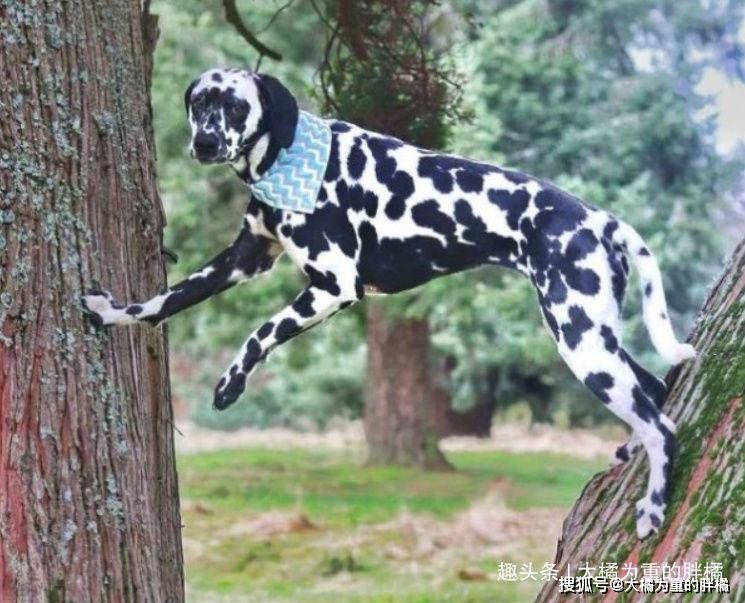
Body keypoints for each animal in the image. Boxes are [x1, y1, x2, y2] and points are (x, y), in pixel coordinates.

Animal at [83, 68, 696, 540]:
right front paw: (114, 313)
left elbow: (260, 331)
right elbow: (167, 300)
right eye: (199, 103)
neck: (288, 159)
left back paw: (653, 506)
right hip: (593, 338)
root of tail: (601, 220)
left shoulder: (332, 286)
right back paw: (628, 452)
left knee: (661, 426)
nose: (205, 144)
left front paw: (231, 383)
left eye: (235, 105)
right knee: (654, 390)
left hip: (581, 342)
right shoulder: (243, 259)